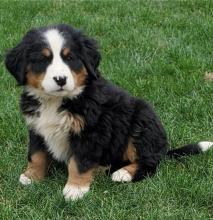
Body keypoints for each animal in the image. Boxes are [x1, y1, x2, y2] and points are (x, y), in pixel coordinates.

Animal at [5, 24, 213, 201]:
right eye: (42, 60)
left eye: (70, 58)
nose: (61, 79)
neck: (57, 100)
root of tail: (163, 149)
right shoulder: (37, 127)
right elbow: (37, 155)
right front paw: (31, 176)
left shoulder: (91, 132)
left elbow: (79, 162)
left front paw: (75, 189)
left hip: (141, 121)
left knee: (150, 163)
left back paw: (123, 173)